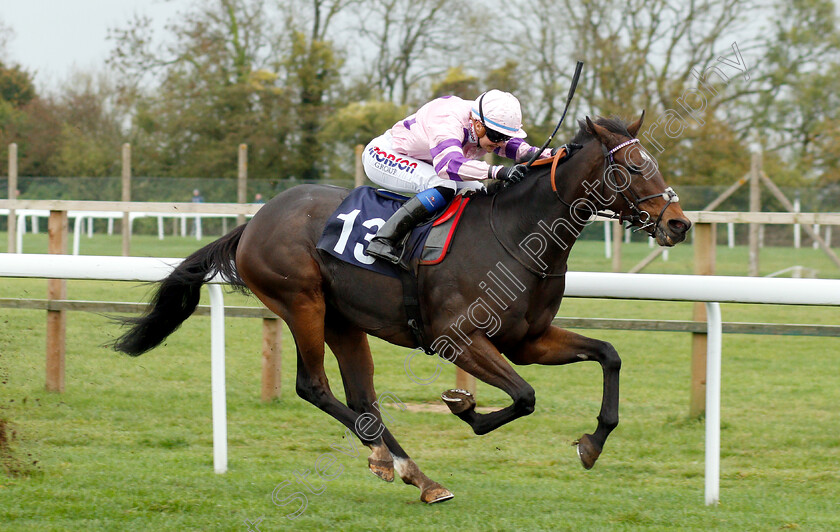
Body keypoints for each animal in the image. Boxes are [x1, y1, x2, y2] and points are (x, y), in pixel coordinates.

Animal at [113, 112, 688, 502]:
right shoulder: (458, 337)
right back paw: (408, 468)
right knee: (314, 387)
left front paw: (593, 443)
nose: (678, 223)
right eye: (633, 166)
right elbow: (524, 397)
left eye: (654, 162)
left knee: (362, 397)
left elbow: (609, 353)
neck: (518, 235)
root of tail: (253, 222)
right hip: (301, 303)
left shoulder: (528, 340)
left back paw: (403, 467)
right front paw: (464, 407)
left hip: (344, 319)